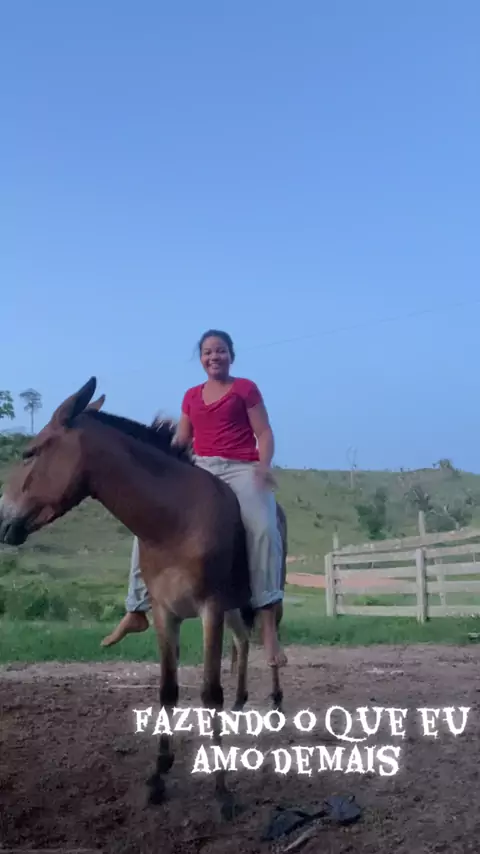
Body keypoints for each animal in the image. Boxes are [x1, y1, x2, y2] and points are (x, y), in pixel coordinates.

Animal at [0, 377, 286, 819]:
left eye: (30, 452)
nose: (3, 520)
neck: (176, 520)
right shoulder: (167, 614)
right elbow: (168, 690)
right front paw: (158, 776)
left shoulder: (209, 610)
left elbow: (210, 693)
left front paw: (222, 791)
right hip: (235, 608)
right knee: (242, 644)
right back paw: (242, 704)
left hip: (265, 597)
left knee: (271, 637)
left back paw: (275, 701)